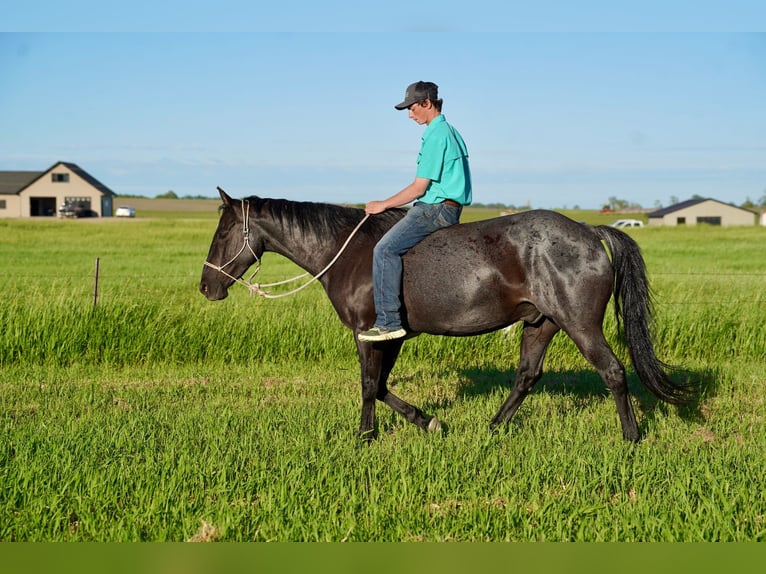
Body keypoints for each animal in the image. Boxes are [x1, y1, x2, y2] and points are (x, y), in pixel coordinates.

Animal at [201, 187, 700, 444]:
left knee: (613, 371)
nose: (207, 287)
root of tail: (589, 231)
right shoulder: (391, 337)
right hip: (541, 323)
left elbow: (368, 386)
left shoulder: (368, 334)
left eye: (223, 232)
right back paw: (493, 429)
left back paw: (631, 438)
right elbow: (382, 386)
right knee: (527, 376)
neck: (349, 251)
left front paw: (365, 437)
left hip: (579, 324)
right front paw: (429, 421)